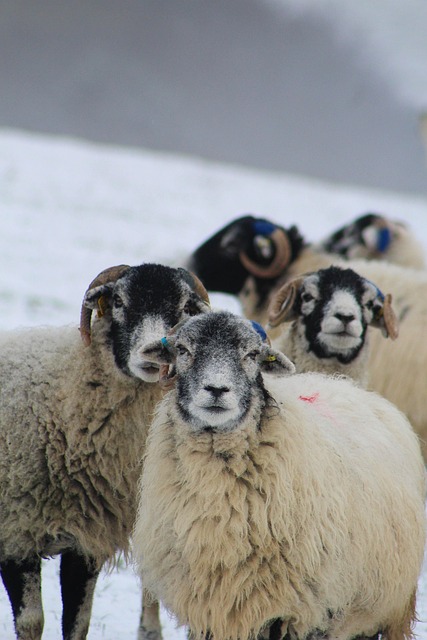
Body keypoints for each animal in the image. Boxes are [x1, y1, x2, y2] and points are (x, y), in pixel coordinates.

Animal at [0, 262, 210, 640]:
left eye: (185, 307)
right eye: (118, 301)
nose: (155, 352)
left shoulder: (86, 542)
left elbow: (77, 622)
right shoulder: (17, 532)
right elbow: (31, 622)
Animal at [133, 310, 426, 640]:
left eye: (251, 355)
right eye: (183, 350)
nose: (217, 390)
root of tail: (347, 386)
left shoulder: (299, 614)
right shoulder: (209, 612)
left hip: (387, 609)